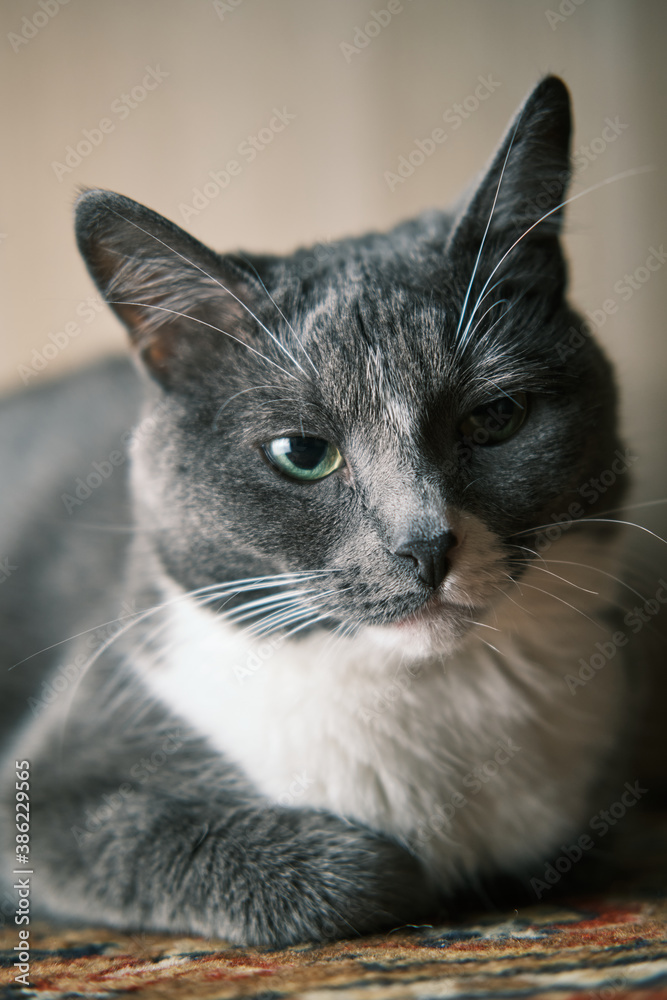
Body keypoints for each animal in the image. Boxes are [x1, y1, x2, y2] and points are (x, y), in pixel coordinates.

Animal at [0, 78, 636, 944]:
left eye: (496, 417)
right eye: (302, 453)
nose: (424, 545)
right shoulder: (53, 781)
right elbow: (339, 871)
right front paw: (387, 871)